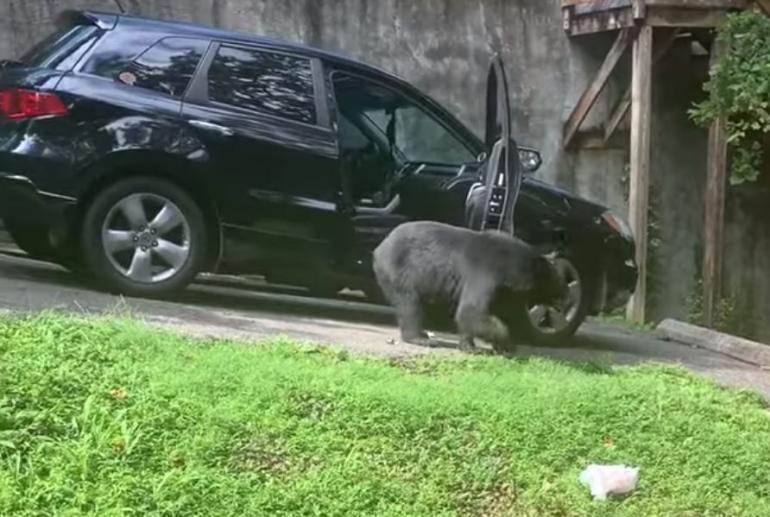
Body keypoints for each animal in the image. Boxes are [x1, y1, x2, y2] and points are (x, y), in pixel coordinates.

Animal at [372, 220, 564, 348]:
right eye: (558, 283)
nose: (566, 299)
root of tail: (379, 248)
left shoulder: (507, 293)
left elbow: (512, 315)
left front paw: (470, 345)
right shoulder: (486, 275)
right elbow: (471, 311)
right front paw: (502, 340)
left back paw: (423, 333)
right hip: (401, 272)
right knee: (410, 304)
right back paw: (420, 338)